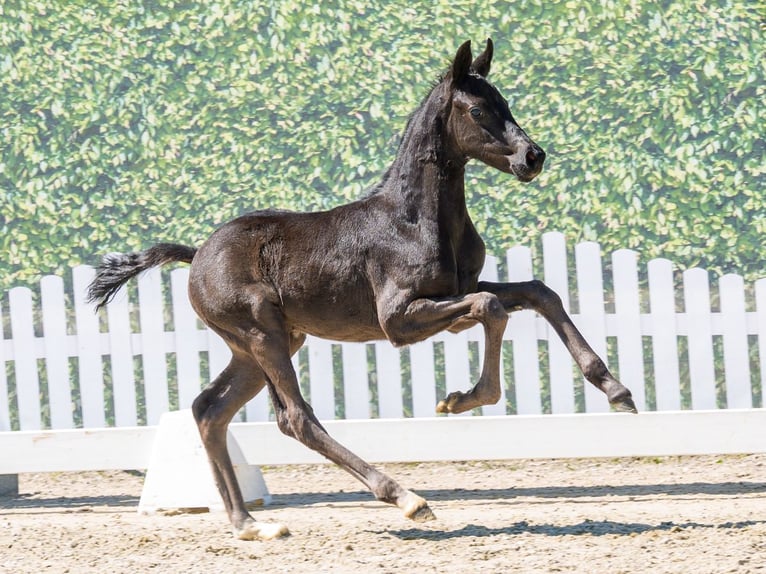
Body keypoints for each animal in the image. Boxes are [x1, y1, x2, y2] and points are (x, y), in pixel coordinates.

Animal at [88, 39, 637, 540]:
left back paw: (250, 524)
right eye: (479, 109)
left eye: (505, 102)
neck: (415, 219)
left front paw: (616, 390)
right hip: (262, 335)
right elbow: (491, 306)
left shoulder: (457, 289)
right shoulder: (398, 320)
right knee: (295, 418)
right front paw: (461, 400)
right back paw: (405, 498)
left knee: (209, 410)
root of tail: (197, 253)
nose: (533, 156)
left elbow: (537, 293)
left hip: (266, 344)